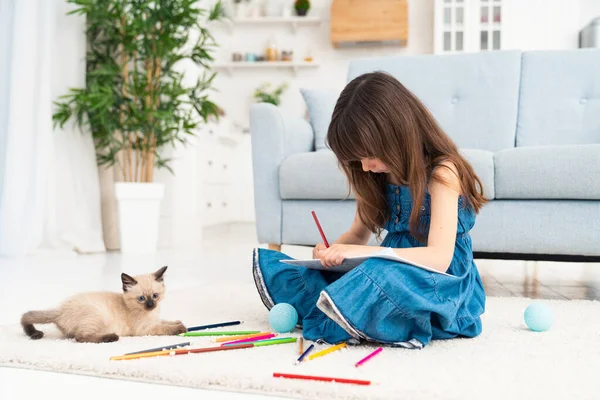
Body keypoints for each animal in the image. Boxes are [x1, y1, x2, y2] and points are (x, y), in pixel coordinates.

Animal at [20, 268, 185, 342]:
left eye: (155, 296)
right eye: (141, 298)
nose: (151, 305)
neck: (151, 313)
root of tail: (60, 310)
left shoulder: (154, 320)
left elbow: (166, 321)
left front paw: (179, 322)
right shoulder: (145, 329)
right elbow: (165, 328)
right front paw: (181, 328)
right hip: (98, 316)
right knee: (81, 337)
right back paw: (111, 337)